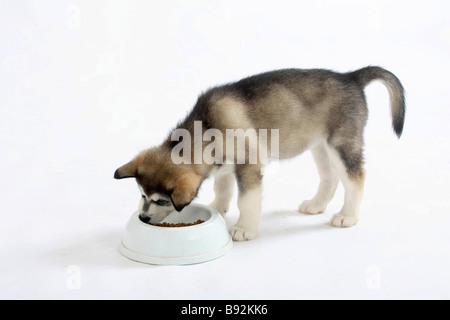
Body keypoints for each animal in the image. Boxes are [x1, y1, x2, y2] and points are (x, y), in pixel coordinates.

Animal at [114, 66, 406, 240]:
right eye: (142, 196)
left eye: (162, 201)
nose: (143, 217)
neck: (206, 126)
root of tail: (351, 77)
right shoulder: (225, 166)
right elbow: (222, 189)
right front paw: (217, 209)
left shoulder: (249, 164)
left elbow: (247, 200)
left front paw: (244, 228)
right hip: (320, 146)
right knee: (330, 177)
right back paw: (316, 205)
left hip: (341, 143)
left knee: (355, 178)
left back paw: (348, 215)